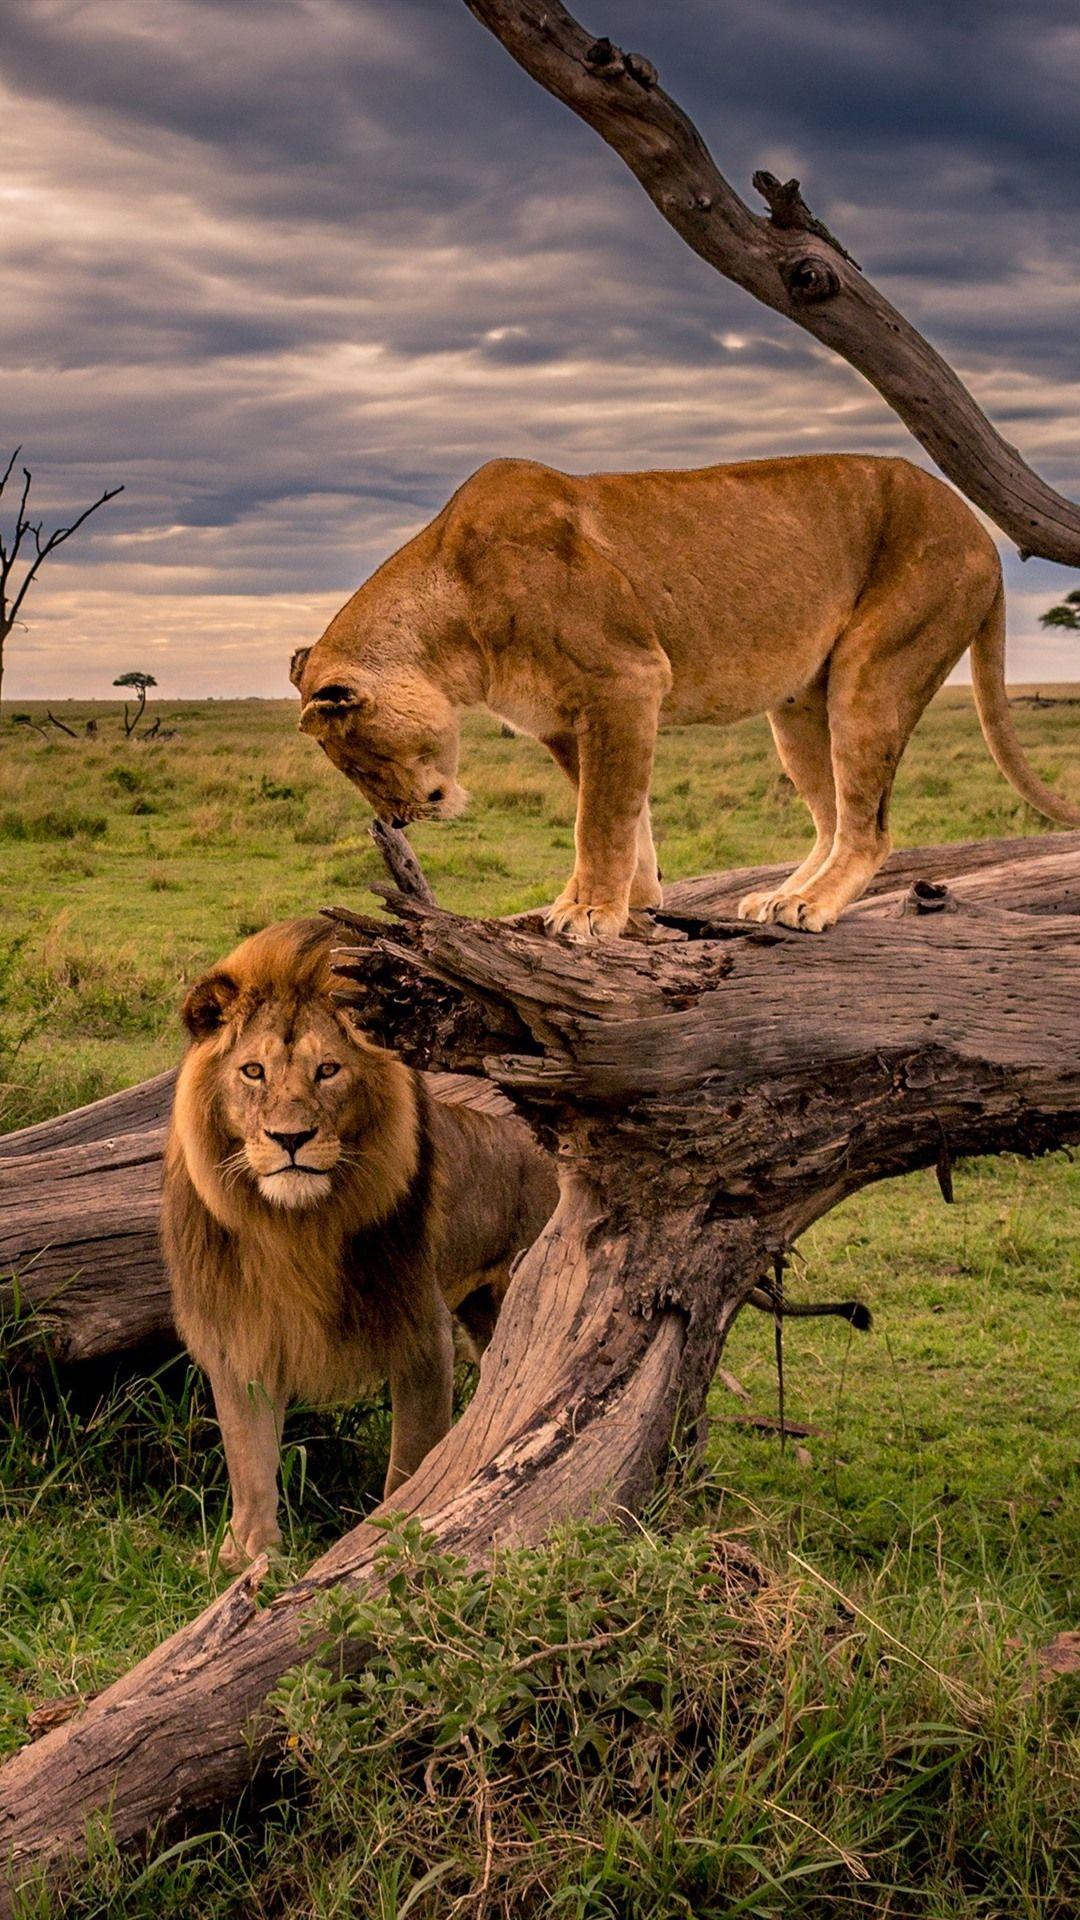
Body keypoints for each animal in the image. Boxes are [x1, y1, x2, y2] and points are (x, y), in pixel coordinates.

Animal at [161, 915, 558, 1570]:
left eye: (327, 1070)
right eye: (253, 1072)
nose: (290, 1138)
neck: (294, 1228)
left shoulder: (419, 1333)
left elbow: (410, 1460)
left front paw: (388, 1535)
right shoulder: (241, 1332)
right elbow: (249, 1460)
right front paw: (246, 1558)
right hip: (482, 1309)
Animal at [290, 453, 1077, 938]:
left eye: (362, 760)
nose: (400, 817)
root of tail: (982, 532)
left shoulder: (625, 680)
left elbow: (600, 817)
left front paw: (589, 912)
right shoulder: (567, 722)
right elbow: (620, 813)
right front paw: (627, 902)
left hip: (876, 668)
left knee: (870, 827)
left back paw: (811, 903)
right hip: (799, 704)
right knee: (832, 818)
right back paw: (779, 894)